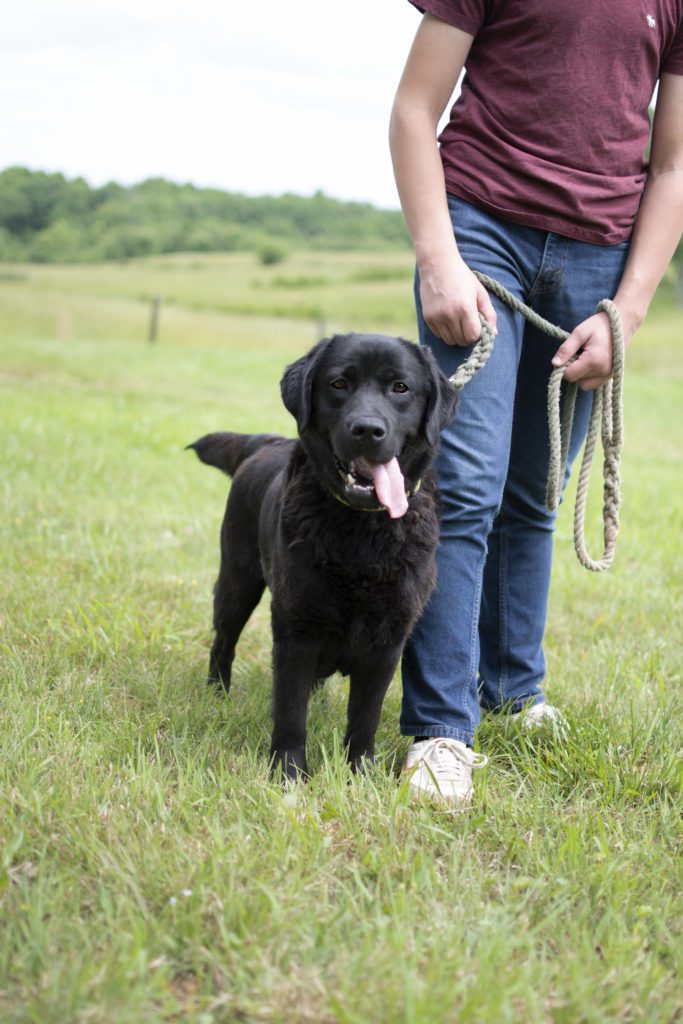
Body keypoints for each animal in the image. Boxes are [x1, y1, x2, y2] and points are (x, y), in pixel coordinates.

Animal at [187, 331, 456, 778]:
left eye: (400, 388)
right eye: (339, 384)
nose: (367, 429)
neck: (362, 532)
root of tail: (266, 442)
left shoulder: (388, 640)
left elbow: (365, 715)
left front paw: (360, 772)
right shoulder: (297, 628)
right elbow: (291, 710)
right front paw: (288, 771)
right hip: (237, 583)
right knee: (222, 643)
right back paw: (216, 696)